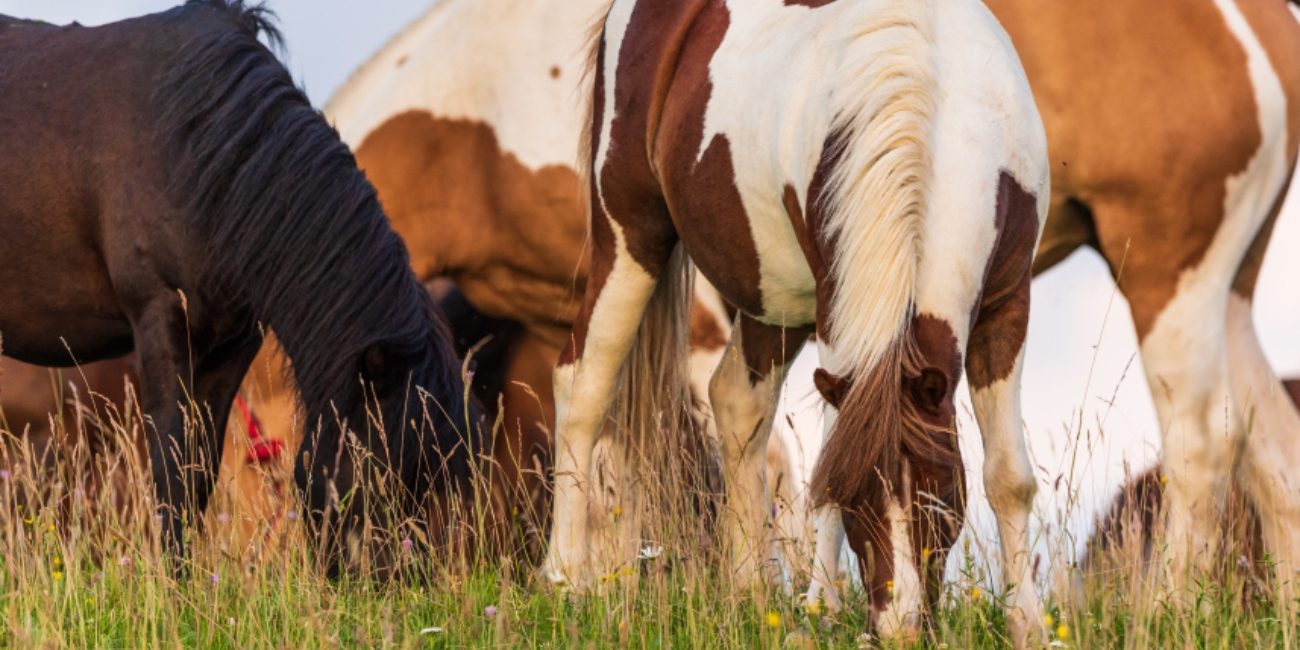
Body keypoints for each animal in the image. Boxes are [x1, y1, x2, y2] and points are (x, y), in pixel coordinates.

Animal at [0, 0, 478, 572]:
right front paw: (172, 586)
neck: (196, 145)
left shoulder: (232, 342)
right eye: (376, 470)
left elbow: (199, 474)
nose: (393, 581)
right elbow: (170, 471)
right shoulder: (160, 319)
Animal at [553, 0, 1050, 639]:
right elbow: (832, 458)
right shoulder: (839, 314)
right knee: (582, 386)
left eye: (938, 495)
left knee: (736, 402)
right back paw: (565, 579)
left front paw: (1028, 625)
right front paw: (823, 608)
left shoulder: (1008, 305)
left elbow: (1009, 474)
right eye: (858, 500)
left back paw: (749, 589)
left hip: (773, 294)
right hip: (629, 234)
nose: (899, 630)